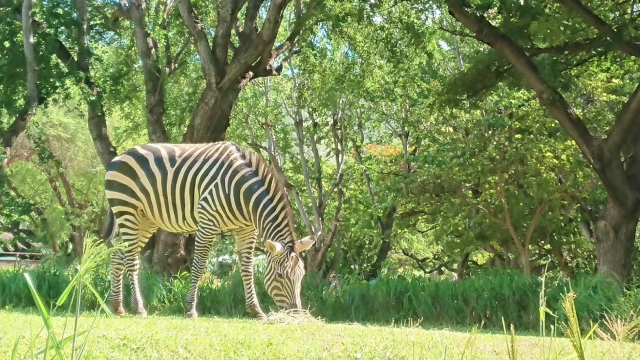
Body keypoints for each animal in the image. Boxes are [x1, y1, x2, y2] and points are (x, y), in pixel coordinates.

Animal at [101, 142, 316, 320]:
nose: (296, 314)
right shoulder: (208, 222)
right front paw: (190, 309)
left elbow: (247, 268)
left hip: (147, 219)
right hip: (127, 210)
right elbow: (199, 265)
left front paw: (256, 311)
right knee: (131, 259)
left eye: (301, 276)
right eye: (280, 276)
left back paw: (117, 306)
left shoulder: (247, 229)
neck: (244, 194)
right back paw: (138, 308)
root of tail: (118, 157)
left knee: (119, 256)